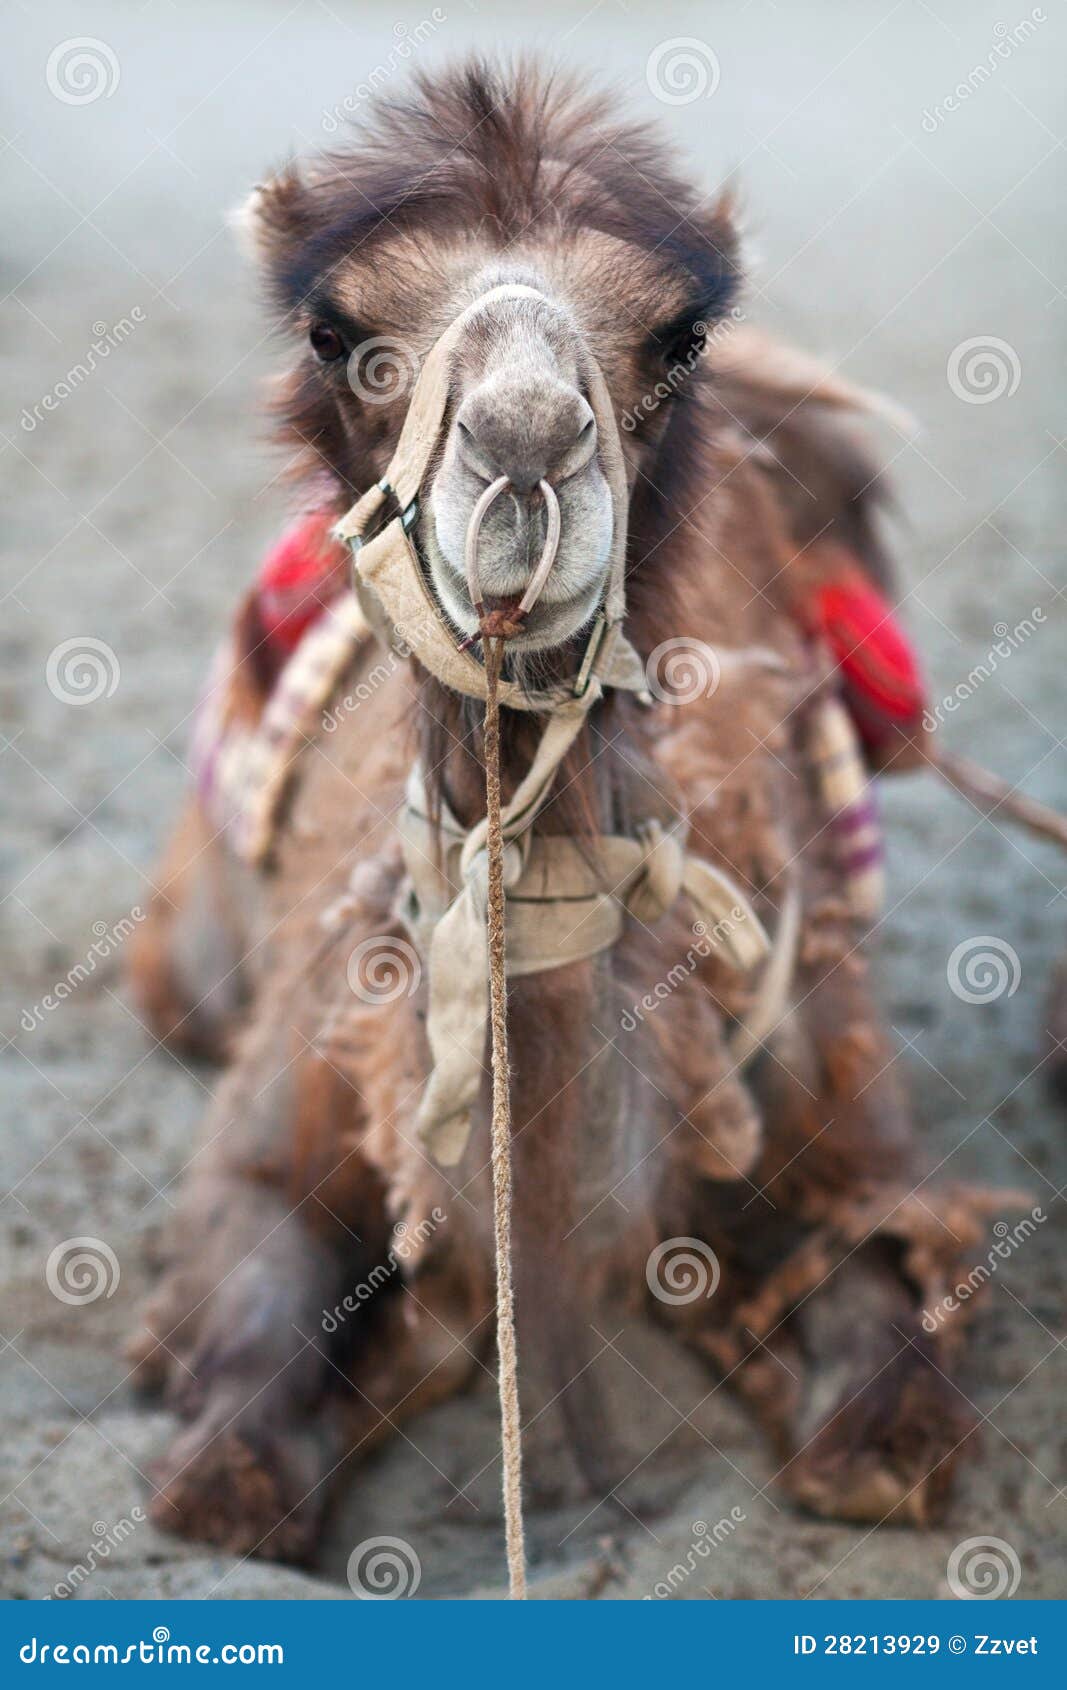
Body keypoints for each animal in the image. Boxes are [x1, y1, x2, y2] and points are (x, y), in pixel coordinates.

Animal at [125, 65, 1001, 1568]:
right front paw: (231, 1452)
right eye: (335, 333)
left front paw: (876, 1434)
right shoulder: (278, 1113)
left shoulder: (820, 1101)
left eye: (677, 336)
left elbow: (879, 1290)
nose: (524, 451)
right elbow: (238, 1384)